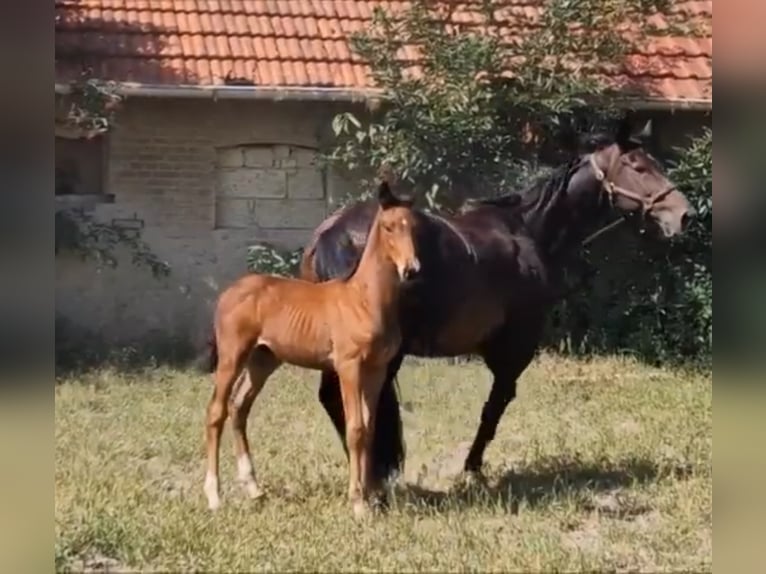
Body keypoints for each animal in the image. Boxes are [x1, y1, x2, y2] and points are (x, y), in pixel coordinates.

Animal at [201, 182, 424, 520]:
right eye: (388, 227)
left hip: (263, 359)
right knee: (216, 412)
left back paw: (254, 489)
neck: (364, 300)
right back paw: (214, 496)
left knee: (239, 406)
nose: (411, 270)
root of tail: (229, 292)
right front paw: (357, 503)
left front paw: (370, 496)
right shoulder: (348, 366)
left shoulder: (376, 369)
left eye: (413, 227)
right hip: (232, 355)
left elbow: (369, 428)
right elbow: (355, 428)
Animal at [304, 118, 700, 496]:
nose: (684, 214)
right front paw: (472, 468)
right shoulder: (517, 345)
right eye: (638, 166)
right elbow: (496, 405)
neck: (527, 229)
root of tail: (332, 235)